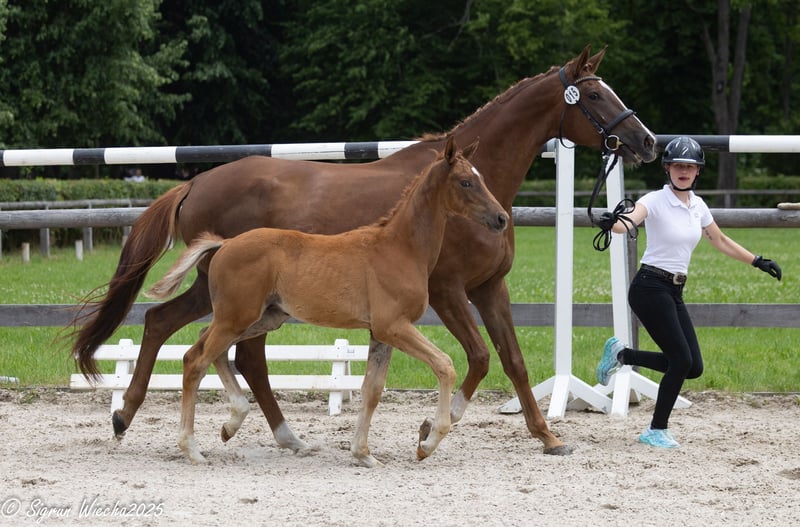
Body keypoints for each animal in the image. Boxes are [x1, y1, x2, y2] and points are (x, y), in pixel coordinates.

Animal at [146, 137, 508, 466]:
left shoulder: (381, 333)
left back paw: (232, 422)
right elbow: (444, 365)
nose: (502, 218)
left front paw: (363, 454)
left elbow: (372, 389)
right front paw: (427, 443)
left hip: (262, 317)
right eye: (466, 181)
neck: (400, 248)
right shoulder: (394, 326)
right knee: (196, 361)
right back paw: (192, 449)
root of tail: (224, 244)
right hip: (237, 317)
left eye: (481, 178)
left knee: (206, 348)